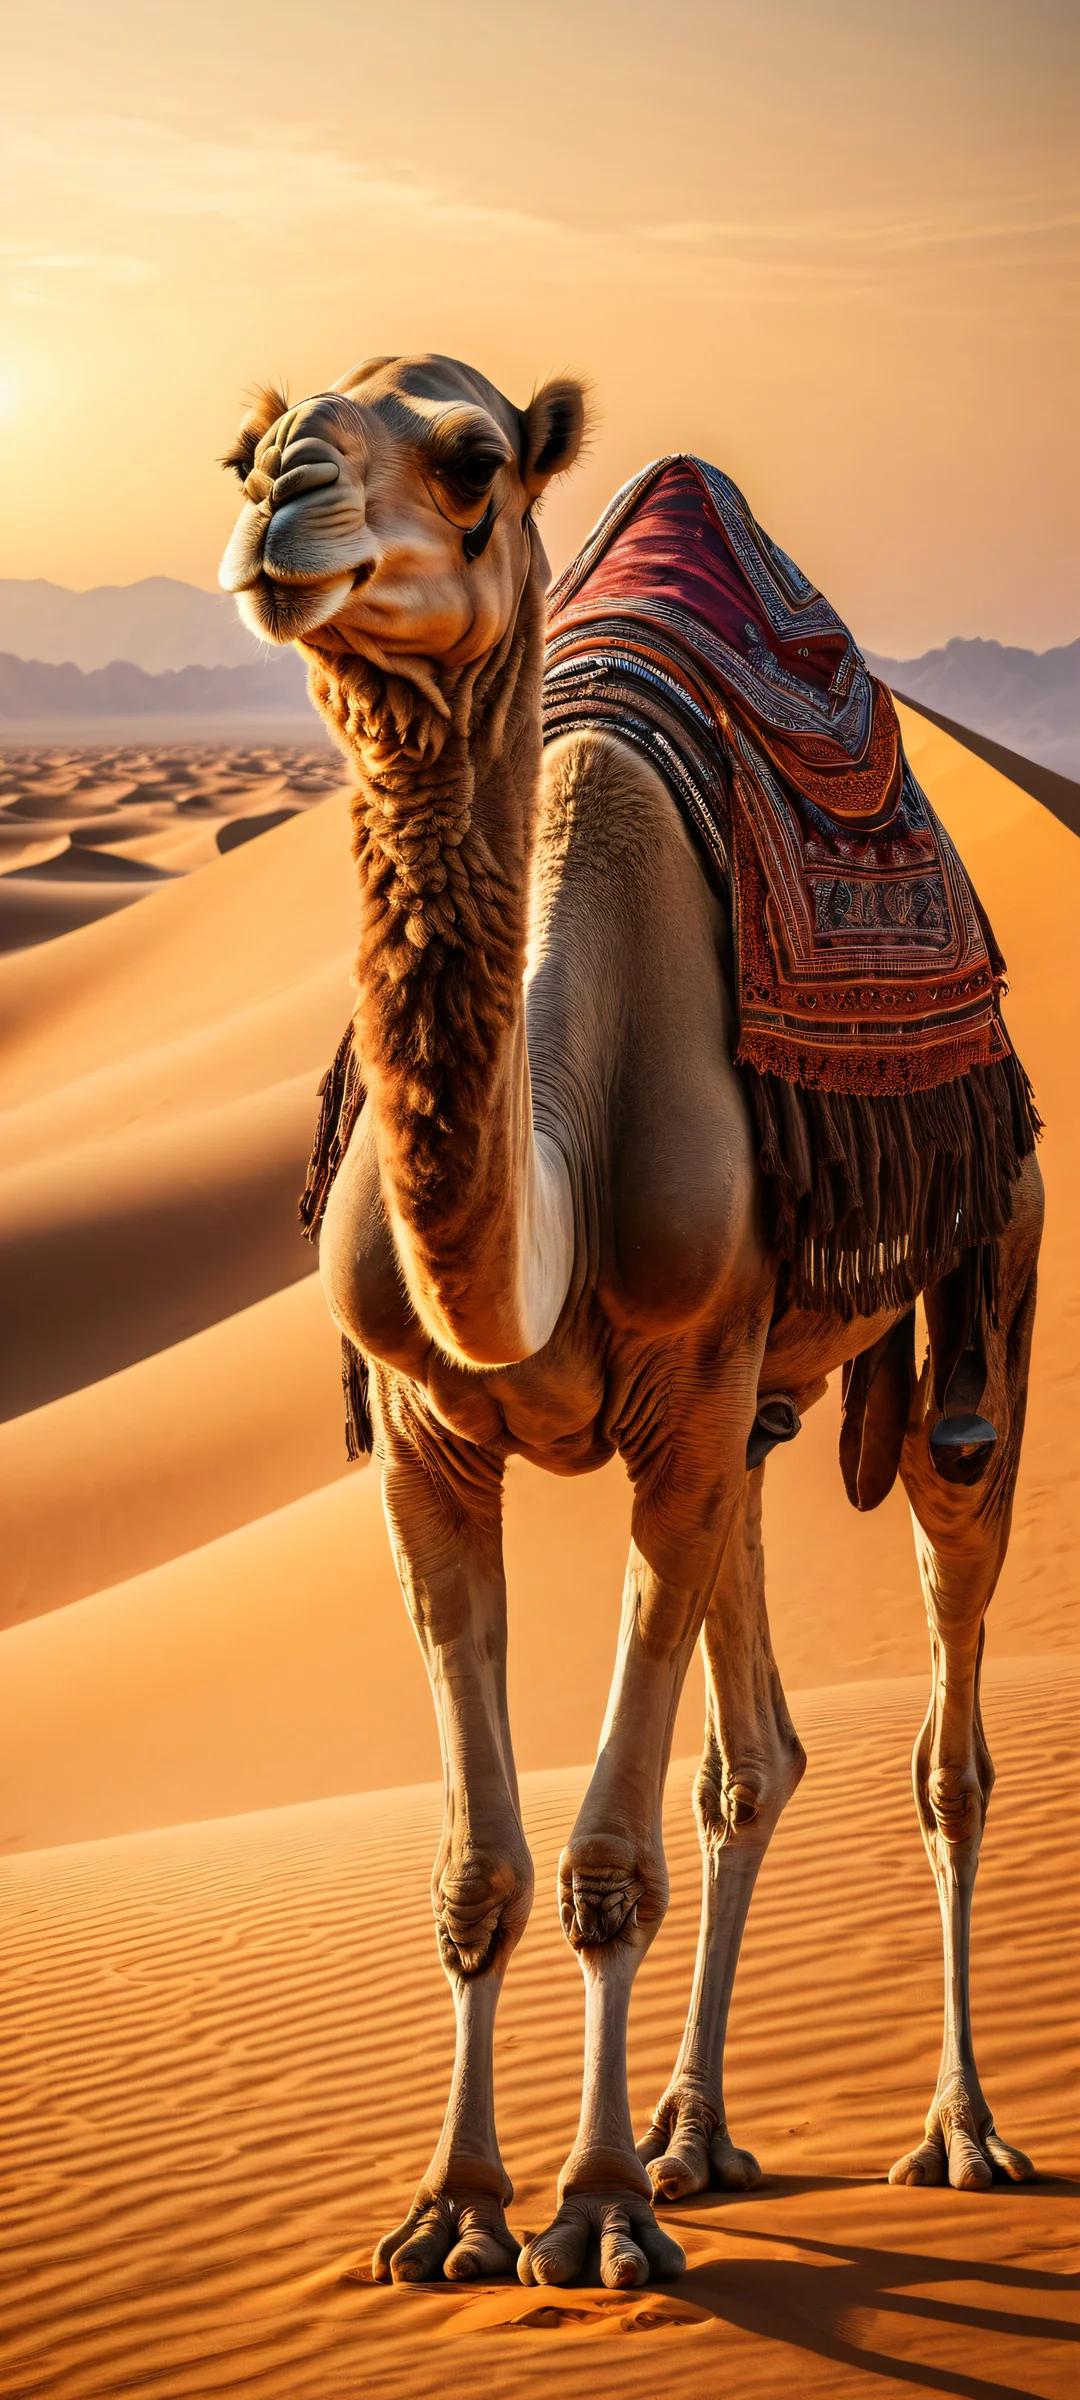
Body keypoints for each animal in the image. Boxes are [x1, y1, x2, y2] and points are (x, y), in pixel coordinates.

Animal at [219, 354, 1043, 2293]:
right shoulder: (428, 1441)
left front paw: (586, 2217)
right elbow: (482, 1864)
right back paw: (695, 2133)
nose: (289, 499)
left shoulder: (678, 1398)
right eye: (248, 446)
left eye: (471, 460)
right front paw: (454, 2211)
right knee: (757, 1761)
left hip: (978, 1276)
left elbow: (604, 1857)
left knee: (949, 1731)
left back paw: (954, 2134)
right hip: (758, 1408)